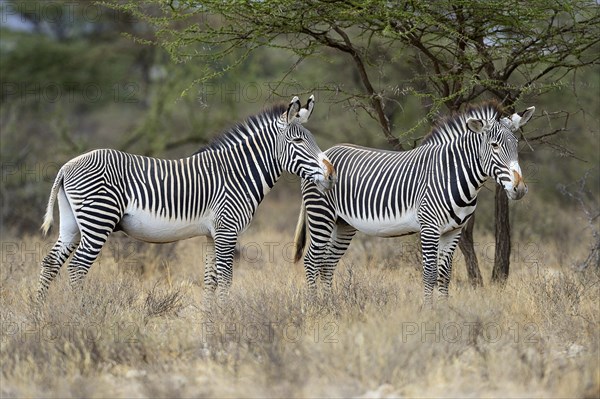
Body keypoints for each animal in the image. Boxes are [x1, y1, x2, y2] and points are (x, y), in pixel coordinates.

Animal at [39, 95, 336, 302]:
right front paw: (225, 322)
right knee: (77, 267)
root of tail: (66, 167)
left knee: (50, 263)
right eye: (298, 142)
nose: (331, 174)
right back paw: (80, 313)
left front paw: (210, 323)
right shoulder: (227, 231)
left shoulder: (212, 235)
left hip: (73, 223)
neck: (236, 173)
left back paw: (40, 316)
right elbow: (225, 279)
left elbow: (211, 281)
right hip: (98, 220)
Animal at [294, 101, 536, 304]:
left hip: (342, 224)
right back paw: (315, 306)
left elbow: (445, 274)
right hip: (321, 216)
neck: (452, 175)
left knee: (327, 264)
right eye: (495, 145)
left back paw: (330, 305)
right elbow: (429, 274)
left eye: (516, 144)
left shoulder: (453, 231)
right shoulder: (429, 227)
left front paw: (445, 311)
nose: (520, 189)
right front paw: (428, 312)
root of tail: (324, 153)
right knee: (311, 261)